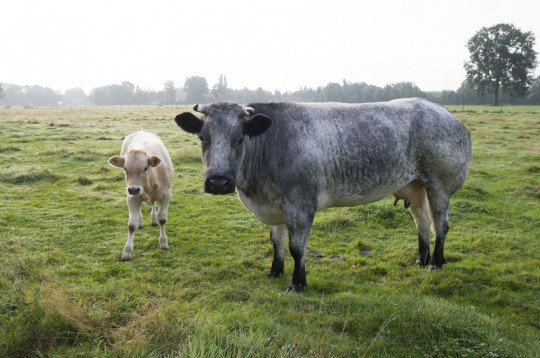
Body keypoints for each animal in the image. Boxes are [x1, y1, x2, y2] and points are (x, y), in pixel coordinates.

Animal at [106, 130, 172, 258]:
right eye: (125, 168)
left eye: (145, 168)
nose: (134, 189)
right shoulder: (131, 198)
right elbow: (132, 225)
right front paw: (127, 251)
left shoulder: (166, 195)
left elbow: (162, 219)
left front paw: (163, 242)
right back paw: (141, 222)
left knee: (153, 205)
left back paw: (154, 219)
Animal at [175, 97, 470, 290]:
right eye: (202, 137)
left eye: (239, 139)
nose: (218, 182)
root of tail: (449, 116)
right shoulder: (273, 206)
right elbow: (276, 242)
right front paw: (275, 270)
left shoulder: (300, 204)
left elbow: (296, 248)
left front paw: (298, 283)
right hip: (415, 185)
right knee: (422, 222)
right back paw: (421, 259)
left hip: (439, 184)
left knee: (440, 223)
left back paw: (436, 262)